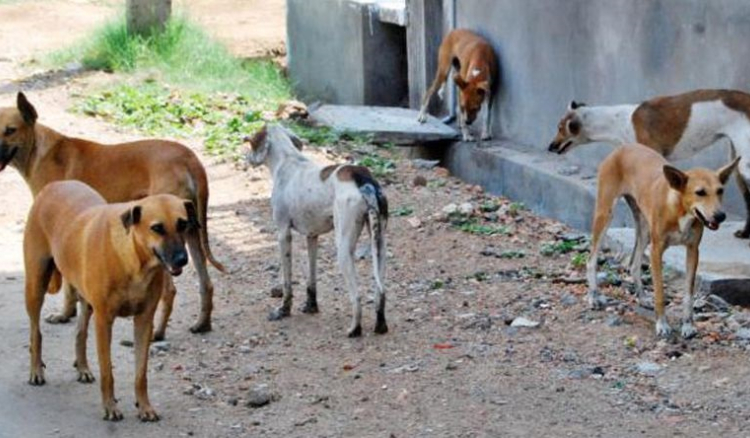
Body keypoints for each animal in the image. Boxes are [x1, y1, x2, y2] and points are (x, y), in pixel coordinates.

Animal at [0, 92, 226, 338]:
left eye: (10, 130)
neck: (39, 151)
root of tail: (190, 158)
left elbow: (68, 285)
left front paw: (64, 314)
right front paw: (69, 313)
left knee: (170, 291)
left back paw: (157, 332)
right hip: (191, 232)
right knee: (206, 284)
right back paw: (202, 324)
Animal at [24, 181, 197, 420]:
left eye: (183, 224)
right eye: (157, 228)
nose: (182, 259)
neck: (134, 261)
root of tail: (54, 185)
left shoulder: (144, 321)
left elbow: (141, 373)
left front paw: (144, 407)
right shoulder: (104, 320)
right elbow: (107, 371)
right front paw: (110, 407)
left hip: (86, 300)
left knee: (80, 332)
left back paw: (83, 368)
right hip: (35, 285)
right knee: (36, 332)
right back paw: (36, 370)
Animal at [245, 125, 390, 338]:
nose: (245, 157)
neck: (288, 160)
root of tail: (363, 178)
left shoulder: (283, 234)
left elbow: (287, 282)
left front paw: (284, 310)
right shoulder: (312, 236)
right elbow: (311, 279)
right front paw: (311, 306)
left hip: (343, 250)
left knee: (357, 297)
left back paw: (354, 329)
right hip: (379, 246)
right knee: (381, 291)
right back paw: (380, 325)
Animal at [548, 90, 750, 240]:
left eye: (560, 128)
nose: (550, 147)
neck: (617, 121)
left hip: (745, 164)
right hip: (737, 164)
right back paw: (745, 233)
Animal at [588, 144, 740, 338]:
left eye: (720, 191)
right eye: (700, 192)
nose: (721, 216)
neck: (679, 210)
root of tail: (623, 147)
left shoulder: (693, 250)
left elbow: (688, 293)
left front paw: (687, 325)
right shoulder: (656, 250)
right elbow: (660, 291)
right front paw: (662, 324)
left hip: (644, 229)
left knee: (634, 265)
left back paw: (642, 298)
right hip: (605, 215)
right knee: (591, 259)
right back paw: (593, 296)